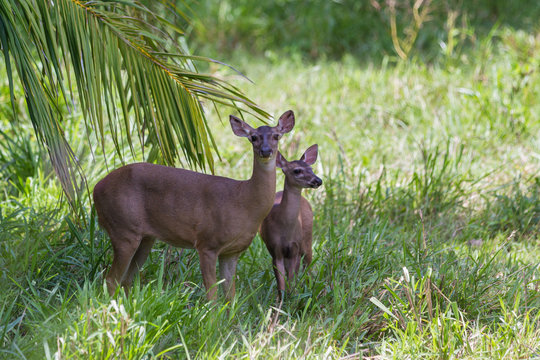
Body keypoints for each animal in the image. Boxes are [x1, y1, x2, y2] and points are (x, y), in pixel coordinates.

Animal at [93, 111, 296, 300]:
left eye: (277, 136)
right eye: (253, 137)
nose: (265, 151)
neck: (244, 202)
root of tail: (96, 188)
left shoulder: (232, 251)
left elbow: (230, 296)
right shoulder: (207, 242)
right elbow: (212, 294)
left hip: (145, 237)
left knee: (126, 280)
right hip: (123, 227)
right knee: (111, 279)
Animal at [260, 143, 322, 298]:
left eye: (311, 169)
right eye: (297, 170)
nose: (318, 181)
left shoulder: (295, 248)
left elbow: (291, 279)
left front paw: (293, 296)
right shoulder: (275, 249)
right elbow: (281, 282)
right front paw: (281, 301)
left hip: (307, 238)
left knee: (308, 264)